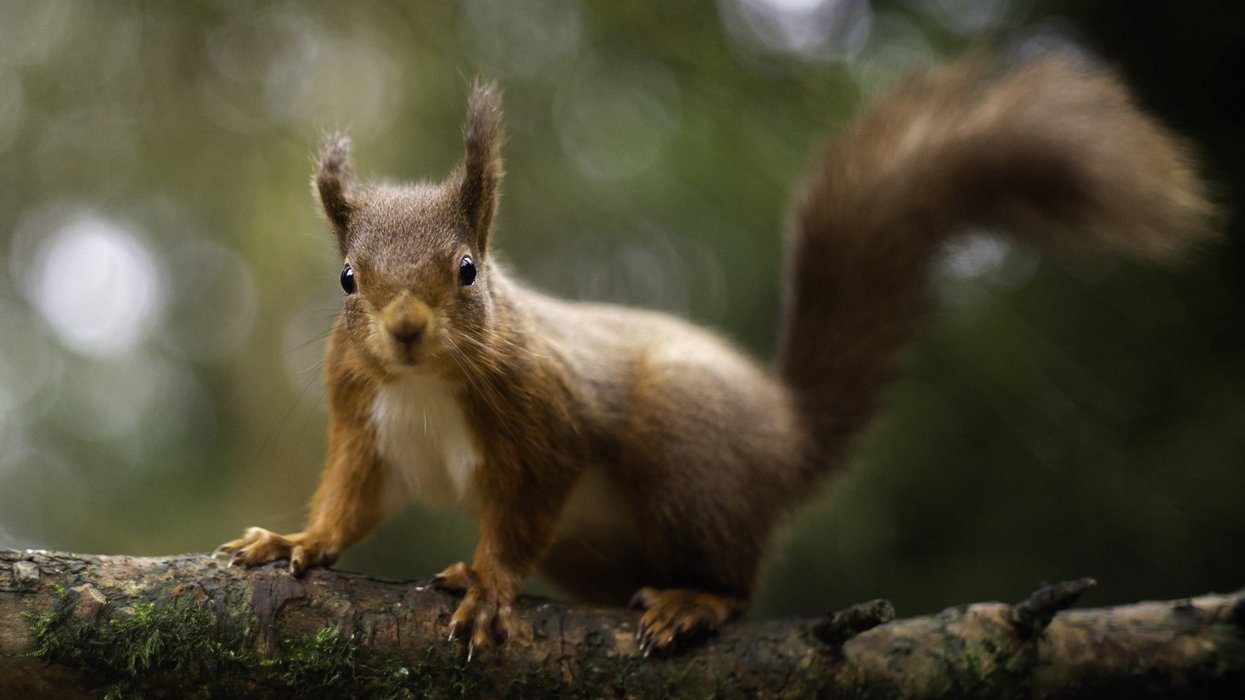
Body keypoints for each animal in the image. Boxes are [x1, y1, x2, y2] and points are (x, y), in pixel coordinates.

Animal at [217, 53, 1216, 656]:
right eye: (347, 279)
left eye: (467, 268)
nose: (405, 330)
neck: (425, 383)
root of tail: (787, 437)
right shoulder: (364, 419)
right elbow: (354, 500)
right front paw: (295, 541)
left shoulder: (548, 417)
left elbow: (526, 504)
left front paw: (493, 581)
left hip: (685, 450)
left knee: (737, 579)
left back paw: (695, 603)